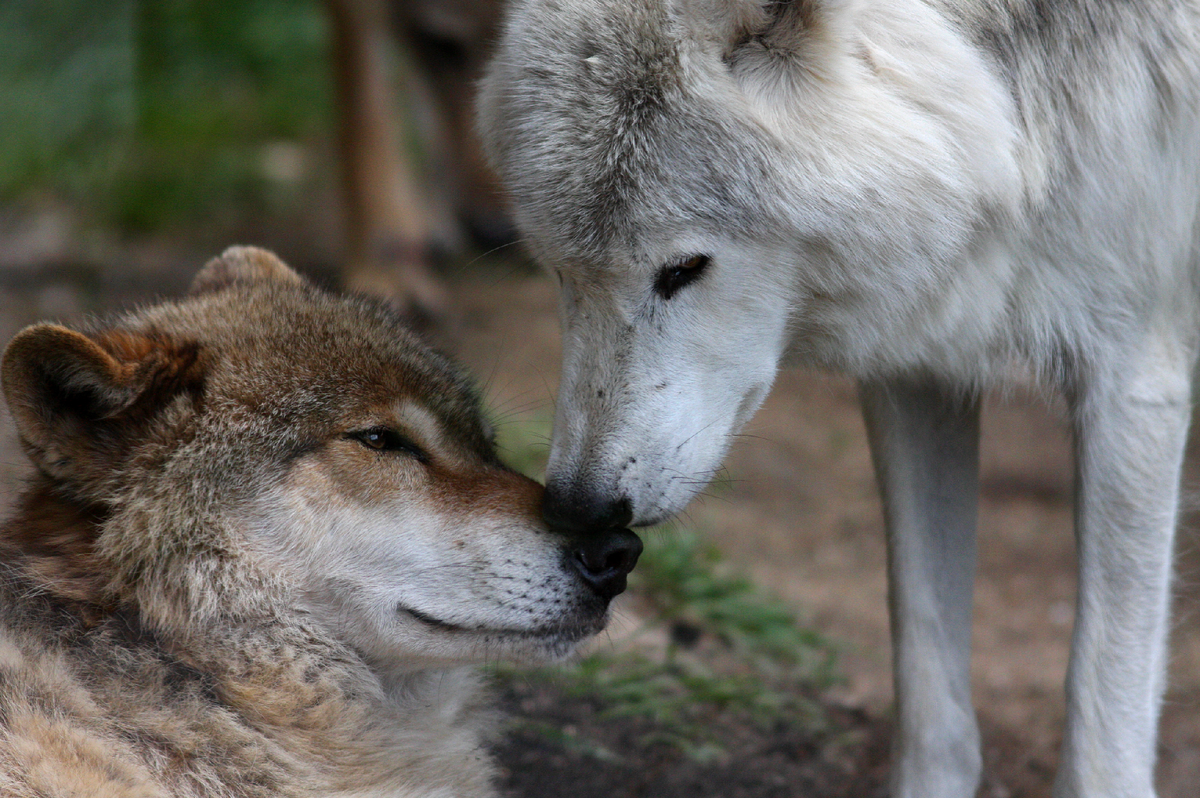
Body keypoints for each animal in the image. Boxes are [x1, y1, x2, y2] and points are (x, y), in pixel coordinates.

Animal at [477, 1, 1200, 796]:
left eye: (684, 268)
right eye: (560, 271)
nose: (577, 506)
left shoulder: (1134, 372)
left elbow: (1102, 714)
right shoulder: (920, 369)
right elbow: (928, 690)